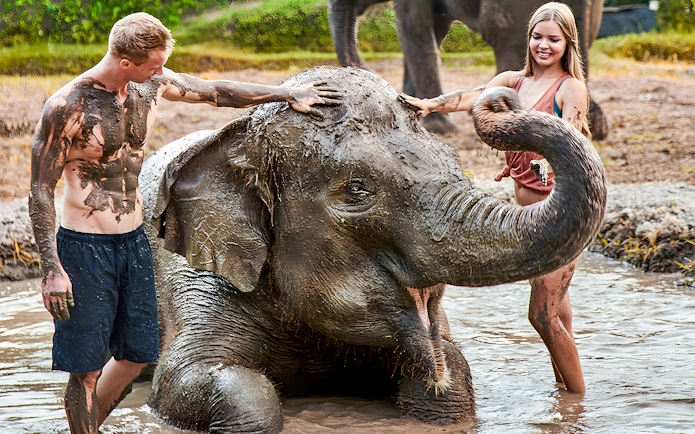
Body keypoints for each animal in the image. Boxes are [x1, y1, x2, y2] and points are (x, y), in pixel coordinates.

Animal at [139, 66, 607, 433]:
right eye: (357, 189)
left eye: (453, 163)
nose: (502, 98)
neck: (235, 136)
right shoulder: (194, 278)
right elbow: (185, 381)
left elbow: (452, 372)